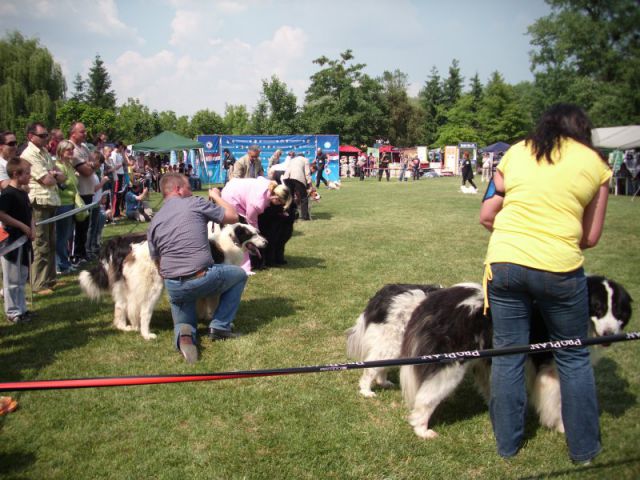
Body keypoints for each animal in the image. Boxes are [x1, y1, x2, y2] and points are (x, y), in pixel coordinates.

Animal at [344, 278, 632, 438]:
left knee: (380, 367)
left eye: (618, 311)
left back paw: (383, 384)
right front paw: (562, 428)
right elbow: (558, 403)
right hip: (426, 356)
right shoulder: (551, 370)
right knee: (380, 374)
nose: (609, 333)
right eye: (597, 308)